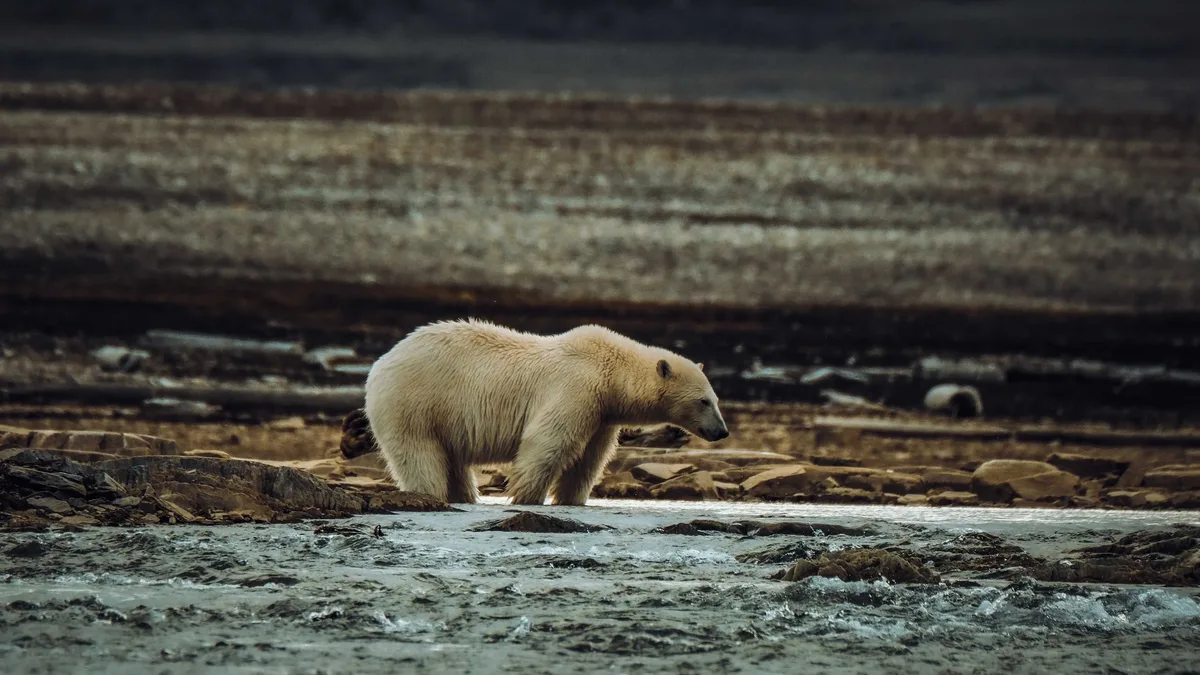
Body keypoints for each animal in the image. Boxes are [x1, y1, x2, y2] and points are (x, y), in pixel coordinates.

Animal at [363, 319, 729, 505]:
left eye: (716, 399)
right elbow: (548, 443)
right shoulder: (577, 388)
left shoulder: (602, 414)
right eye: (703, 401)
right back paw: (431, 494)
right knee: (420, 455)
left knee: (452, 462)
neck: (611, 372)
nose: (721, 431)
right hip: (415, 402)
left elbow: (589, 459)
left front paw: (571, 500)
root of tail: (381, 363)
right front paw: (526, 497)